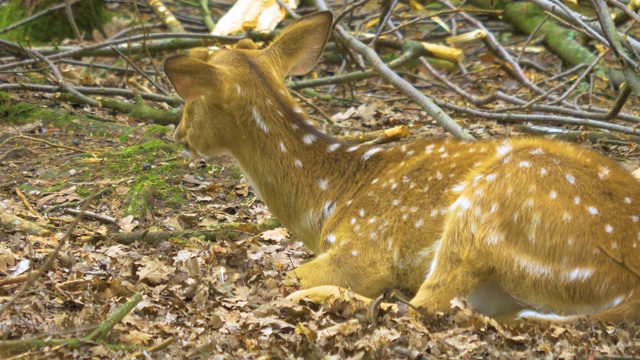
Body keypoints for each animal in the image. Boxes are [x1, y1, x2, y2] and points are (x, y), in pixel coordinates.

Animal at [164, 11, 640, 324]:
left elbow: (295, 274)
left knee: (426, 306)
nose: (179, 133)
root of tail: (627, 286)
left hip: (487, 208)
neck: (329, 199)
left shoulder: (364, 249)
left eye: (191, 99)